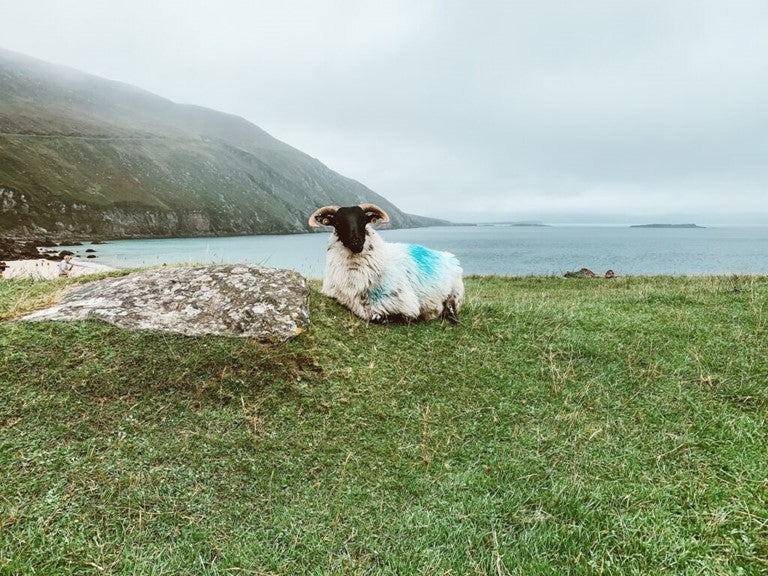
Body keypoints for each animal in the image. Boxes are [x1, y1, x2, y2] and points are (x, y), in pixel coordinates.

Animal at [306, 202, 462, 322]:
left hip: (455, 294)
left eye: (364, 220)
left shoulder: (406, 304)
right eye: (337, 222)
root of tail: (446, 255)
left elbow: (386, 317)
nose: (356, 242)